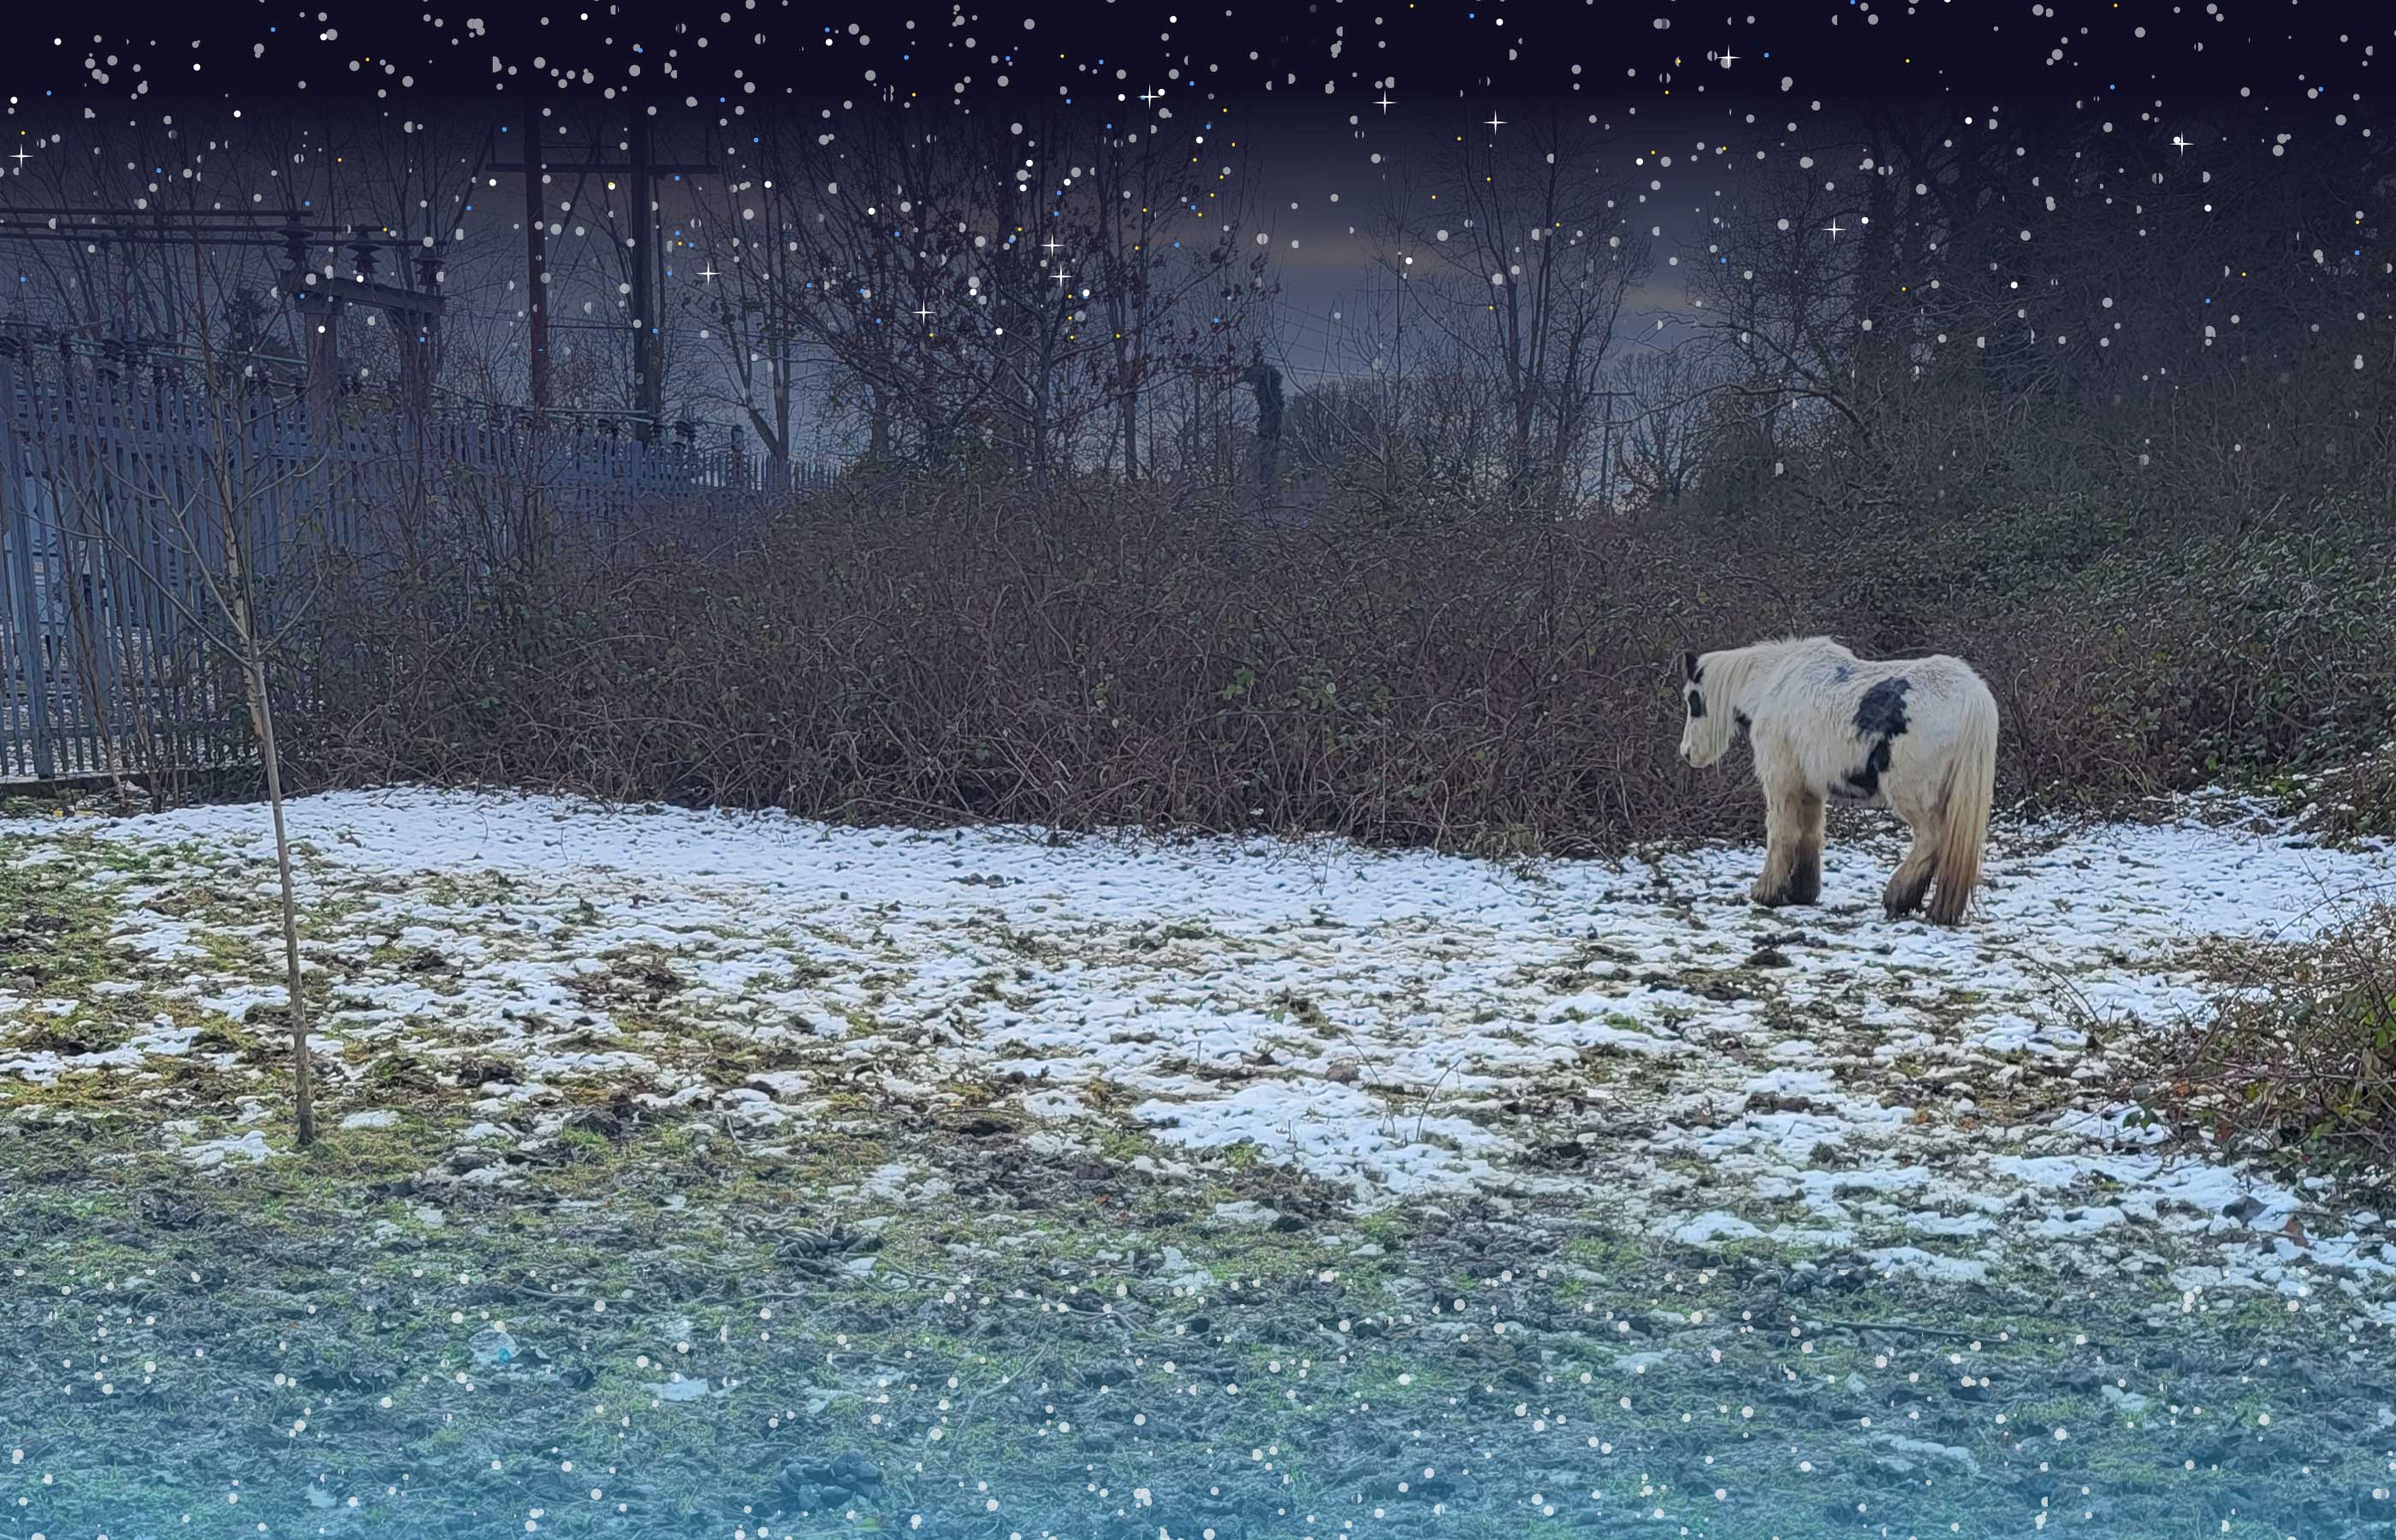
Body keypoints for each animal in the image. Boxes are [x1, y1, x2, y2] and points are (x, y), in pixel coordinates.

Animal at [1677, 636, 1999, 925]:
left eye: (1693, 700)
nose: (1687, 753)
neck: (1773, 685)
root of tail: (1972, 694)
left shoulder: (1782, 782)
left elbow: (1782, 833)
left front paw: (1766, 892)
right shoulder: (1809, 787)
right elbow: (1809, 834)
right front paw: (1801, 892)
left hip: (1914, 795)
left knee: (1931, 839)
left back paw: (1897, 898)